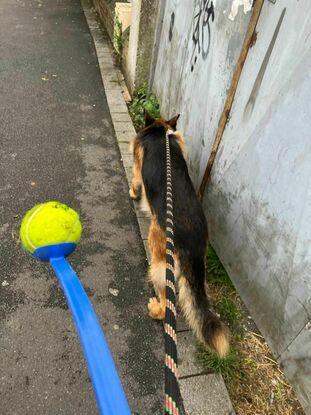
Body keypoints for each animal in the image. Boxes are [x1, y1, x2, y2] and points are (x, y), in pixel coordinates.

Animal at [129, 113, 229, 358]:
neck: (161, 131)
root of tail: (192, 239)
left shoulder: (136, 168)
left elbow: (135, 181)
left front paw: (132, 193)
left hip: (158, 263)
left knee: (167, 300)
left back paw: (155, 308)